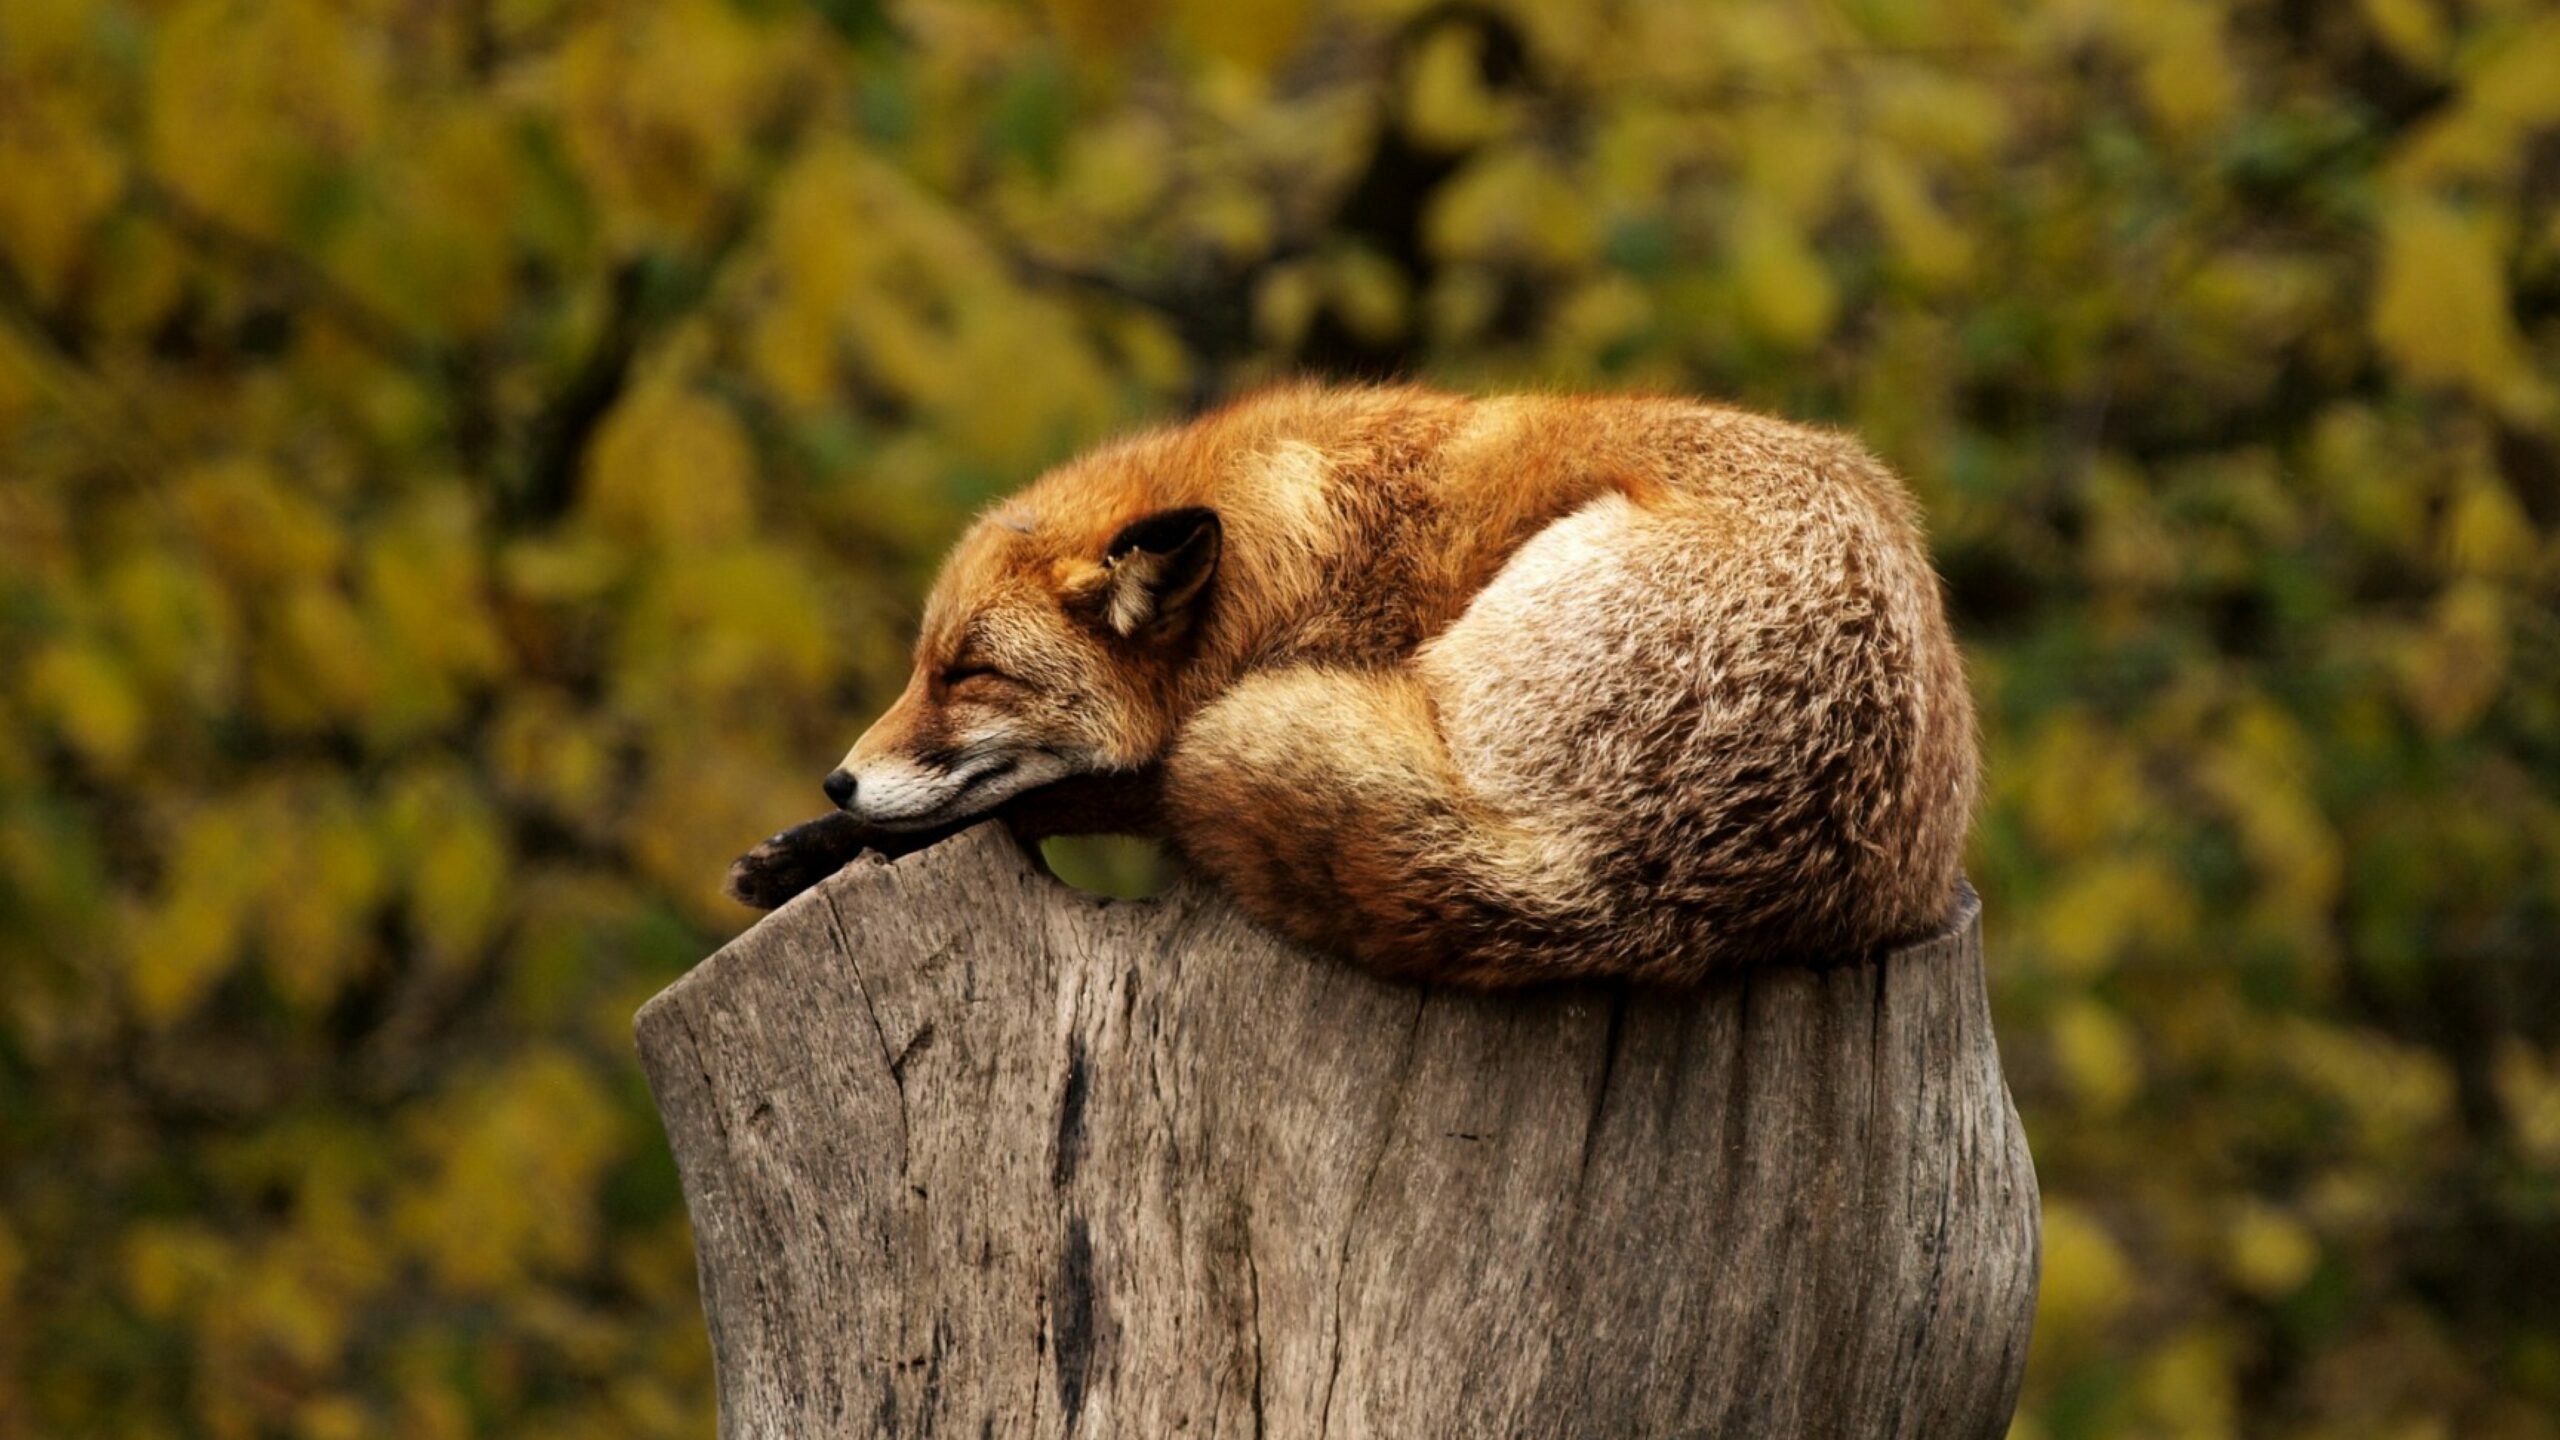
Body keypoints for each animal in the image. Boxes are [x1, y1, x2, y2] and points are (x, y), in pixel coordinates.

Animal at [727, 381, 1976, 983]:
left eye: (969, 673)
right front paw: (808, 845)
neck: (1294, 555)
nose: (838, 781)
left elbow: (1063, 794)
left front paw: (824, 845)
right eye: (920, 666)